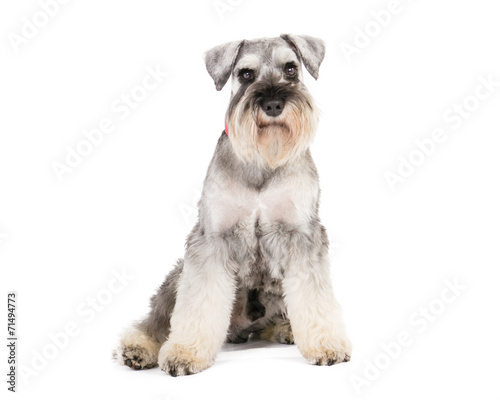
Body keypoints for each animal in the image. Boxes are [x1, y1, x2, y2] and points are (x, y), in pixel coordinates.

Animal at [113, 33, 352, 376]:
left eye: (291, 69)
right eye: (246, 74)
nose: (273, 104)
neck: (264, 160)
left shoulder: (303, 237)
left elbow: (315, 298)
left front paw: (326, 344)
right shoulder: (211, 240)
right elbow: (198, 303)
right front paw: (185, 352)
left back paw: (285, 330)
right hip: (177, 277)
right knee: (156, 320)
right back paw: (139, 347)